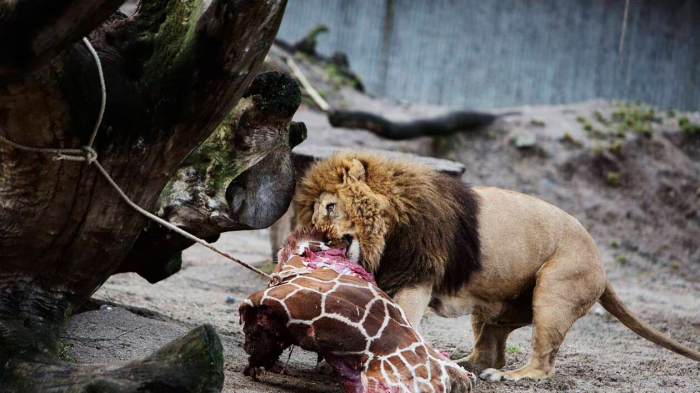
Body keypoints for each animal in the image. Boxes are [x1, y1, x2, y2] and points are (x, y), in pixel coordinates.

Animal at [292, 152, 700, 382]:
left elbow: (400, 321)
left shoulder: (416, 276)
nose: (319, 239)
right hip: (492, 305)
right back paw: (463, 364)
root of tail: (601, 261)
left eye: (330, 208)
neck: (385, 232)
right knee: (489, 350)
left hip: (555, 291)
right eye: (315, 215)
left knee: (542, 365)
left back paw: (510, 377)